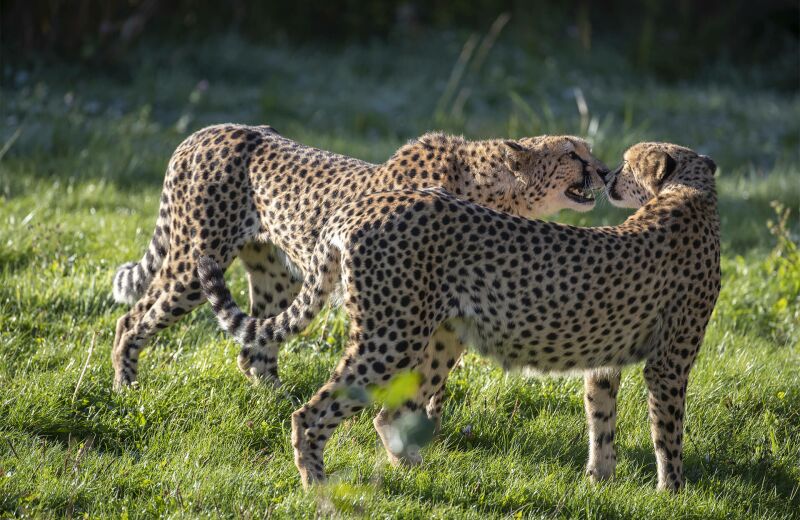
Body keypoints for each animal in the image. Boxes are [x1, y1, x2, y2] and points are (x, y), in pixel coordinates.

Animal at [108, 123, 608, 390]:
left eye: (589, 150)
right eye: (573, 154)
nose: (604, 171)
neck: (492, 192)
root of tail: (205, 131)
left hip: (279, 274)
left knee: (254, 346)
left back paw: (277, 397)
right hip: (195, 263)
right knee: (131, 318)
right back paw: (127, 387)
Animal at [198, 142, 720, 492]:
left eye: (628, 165)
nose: (609, 174)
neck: (690, 194)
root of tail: (364, 205)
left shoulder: (605, 358)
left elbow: (601, 418)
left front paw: (600, 479)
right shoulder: (669, 365)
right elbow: (668, 430)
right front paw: (673, 492)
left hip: (437, 336)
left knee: (389, 413)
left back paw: (414, 470)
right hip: (392, 337)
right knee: (313, 411)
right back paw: (316, 484)